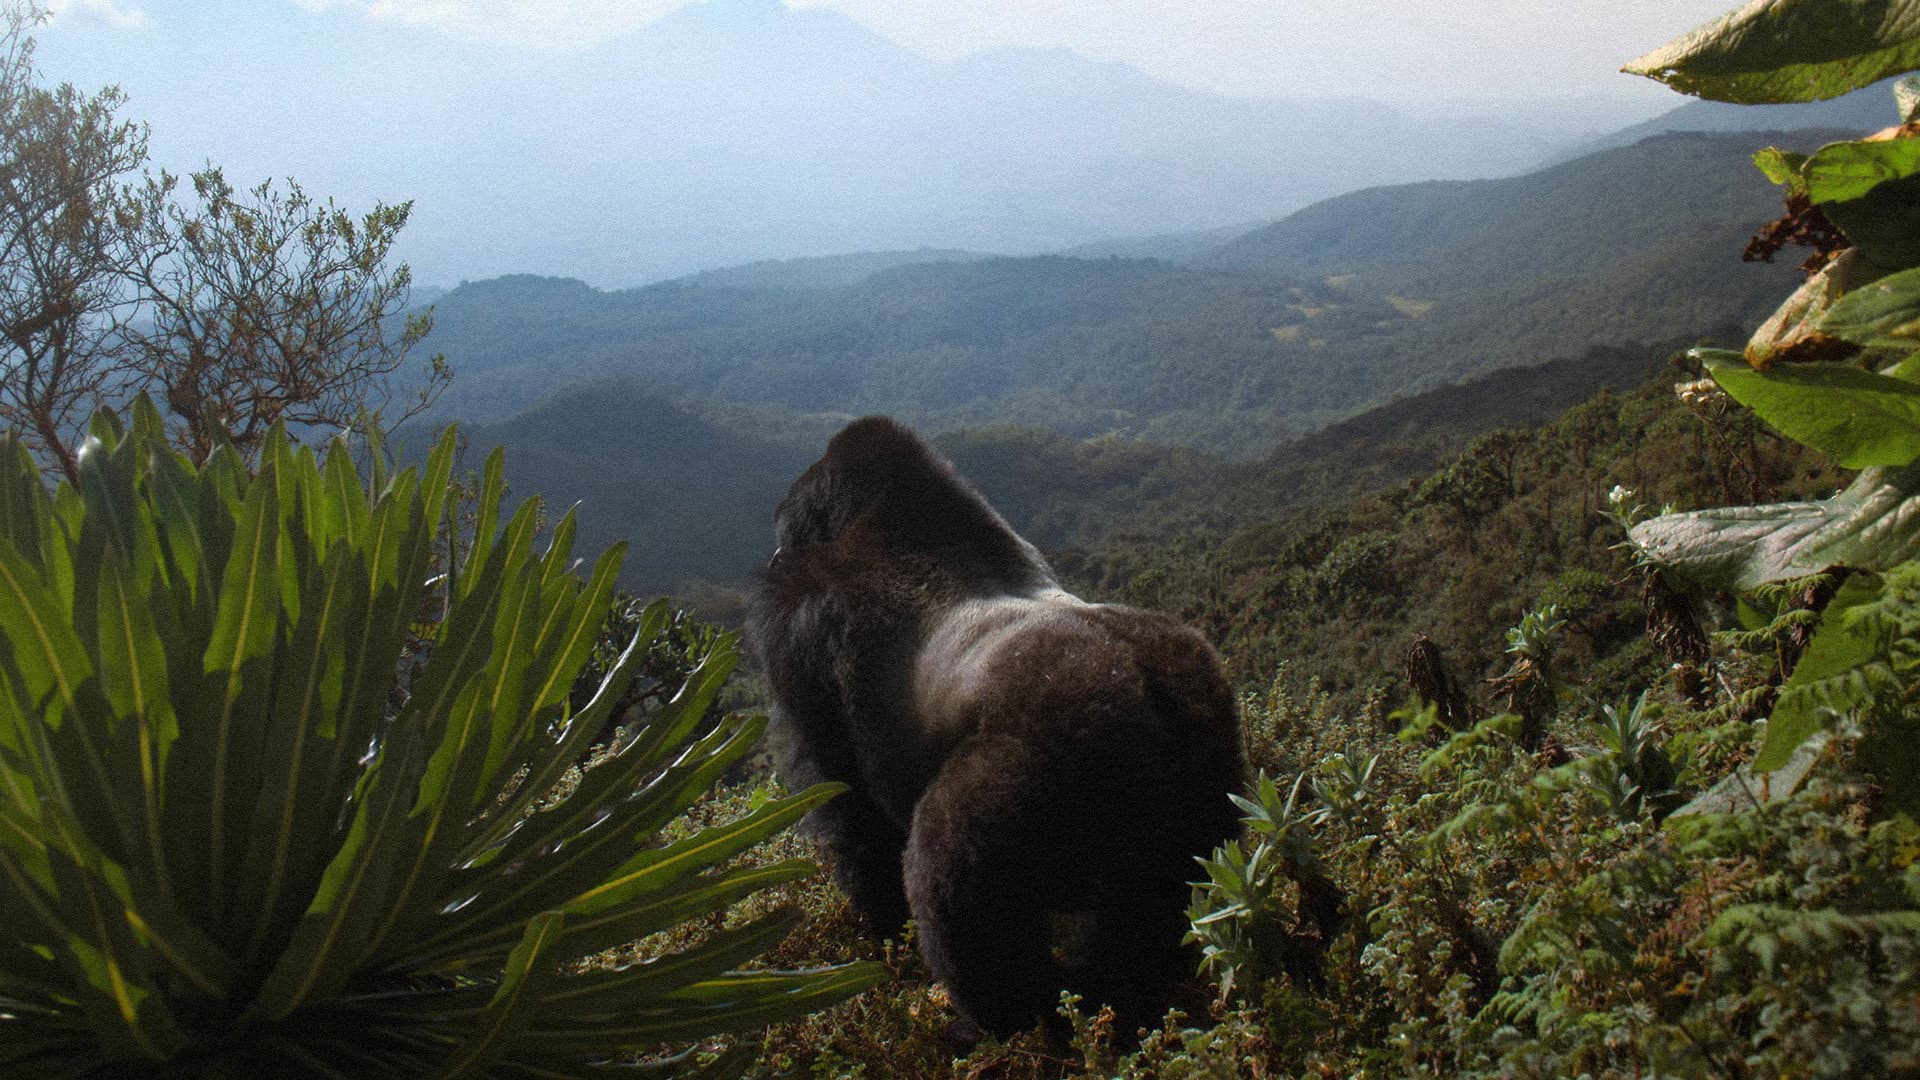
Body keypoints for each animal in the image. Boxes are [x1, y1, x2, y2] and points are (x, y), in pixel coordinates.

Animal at [750, 416, 1244, 1037]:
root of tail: (1145, 677)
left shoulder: (800, 622)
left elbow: (850, 808)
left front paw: (884, 935)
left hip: (1049, 747)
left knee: (947, 862)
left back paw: (999, 1023)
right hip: (1212, 740)